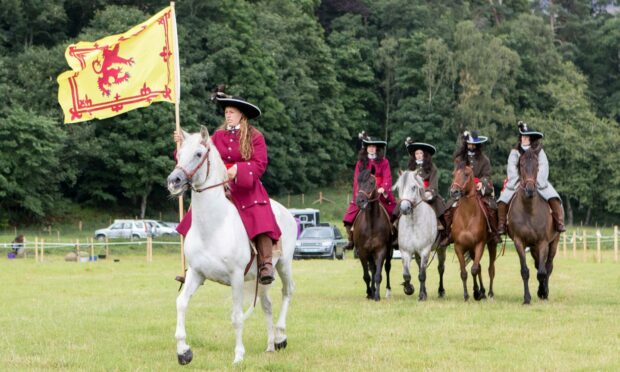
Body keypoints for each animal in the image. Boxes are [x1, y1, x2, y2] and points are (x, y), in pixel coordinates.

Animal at [166, 126, 296, 364]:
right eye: (179, 154)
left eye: (198, 154)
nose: (174, 181)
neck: (213, 227)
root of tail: (286, 212)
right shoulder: (196, 273)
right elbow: (181, 303)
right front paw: (183, 351)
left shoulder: (236, 277)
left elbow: (236, 316)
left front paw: (238, 356)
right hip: (261, 279)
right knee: (267, 304)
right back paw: (270, 345)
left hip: (284, 264)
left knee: (288, 291)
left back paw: (281, 337)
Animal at [354, 168, 392, 300]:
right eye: (358, 182)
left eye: (371, 182)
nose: (360, 200)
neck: (371, 224)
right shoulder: (362, 252)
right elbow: (367, 275)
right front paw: (370, 292)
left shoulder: (381, 250)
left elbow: (378, 275)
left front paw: (377, 296)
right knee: (372, 269)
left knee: (387, 268)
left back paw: (387, 291)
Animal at [392, 170, 446, 300]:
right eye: (399, 188)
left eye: (414, 187)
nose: (404, 208)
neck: (413, 223)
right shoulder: (406, 252)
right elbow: (407, 275)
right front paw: (409, 289)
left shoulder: (425, 250)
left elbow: (422, 274)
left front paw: (421, 296)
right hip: (416, 254)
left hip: (441, 249)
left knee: (440, 269)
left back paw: (441, 291)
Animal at [448, 161, 496, 300]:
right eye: (454, 174)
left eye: (466, 174)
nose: (454, 192)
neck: (467, 216)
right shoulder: (459, 247)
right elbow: (464, 272)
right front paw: (467, 294)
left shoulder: (479, 244)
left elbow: (474, 269)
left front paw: (476, 292)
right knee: (479, 266)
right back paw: (482, 291)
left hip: (491, 244)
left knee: (490, 269)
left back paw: (489, 293)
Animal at [506, 148, 560, 306]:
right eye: (521, 165)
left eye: (537, 165)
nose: (530, 190)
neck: (529, 210)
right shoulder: (519, 242)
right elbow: (525, 271)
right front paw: (527, 298)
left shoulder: (543, 242)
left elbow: (542, 272)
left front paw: (542, 292)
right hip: (534, 247)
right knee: (538, 265)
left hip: (553, 243)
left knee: (548, 267)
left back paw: (545, 292)